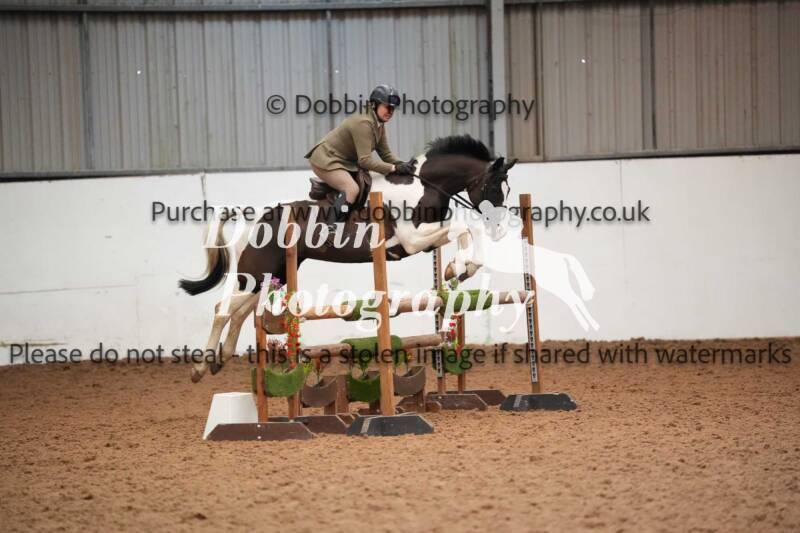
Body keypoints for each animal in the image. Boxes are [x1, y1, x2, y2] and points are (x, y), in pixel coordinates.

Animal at [179, 135, 517, 382]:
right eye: (493, 187)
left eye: (507, 189)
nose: (499, 228)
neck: (424, 186)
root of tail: (256, 216)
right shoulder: (410, 240)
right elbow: (465, 226)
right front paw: (458, 266)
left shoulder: (423, 240)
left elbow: (466, 231)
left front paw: (458, 268)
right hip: (256, 274)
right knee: (222, 309)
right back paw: (199, 368)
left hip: (272, 276)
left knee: (239, 313)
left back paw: (220, 360)